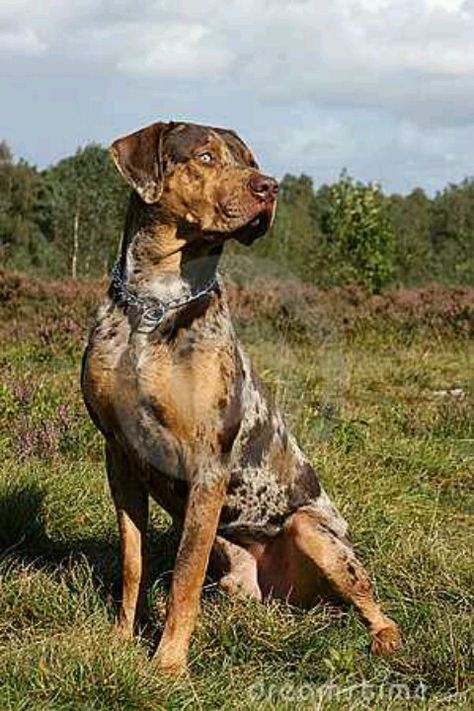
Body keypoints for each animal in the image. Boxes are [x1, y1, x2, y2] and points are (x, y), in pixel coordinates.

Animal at [80, 119, 400, 676]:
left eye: (252, 160)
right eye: (206, 156)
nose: (269, 186)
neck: (154, 303)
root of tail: (289, 599)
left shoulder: (207, 463)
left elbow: (184, 576)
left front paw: (168, 665)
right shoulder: (119, 454)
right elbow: (132, 561)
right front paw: (121, 640)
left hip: (316, 533)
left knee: (373, 602)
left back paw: (384, 639)